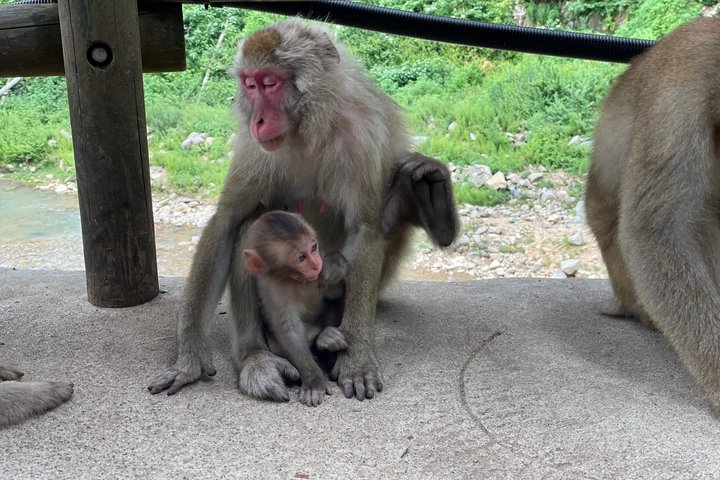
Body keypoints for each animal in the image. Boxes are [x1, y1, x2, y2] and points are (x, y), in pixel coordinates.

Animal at [243, 210, 348, 406]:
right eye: (301, 258)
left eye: (314, 247)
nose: (316, 264)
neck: (297, 280)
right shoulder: (273, 289)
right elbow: (289, 331)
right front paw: (313, 380)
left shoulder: (319, 277)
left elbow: (336, 295)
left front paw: (335, 265)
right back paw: (324, 338)